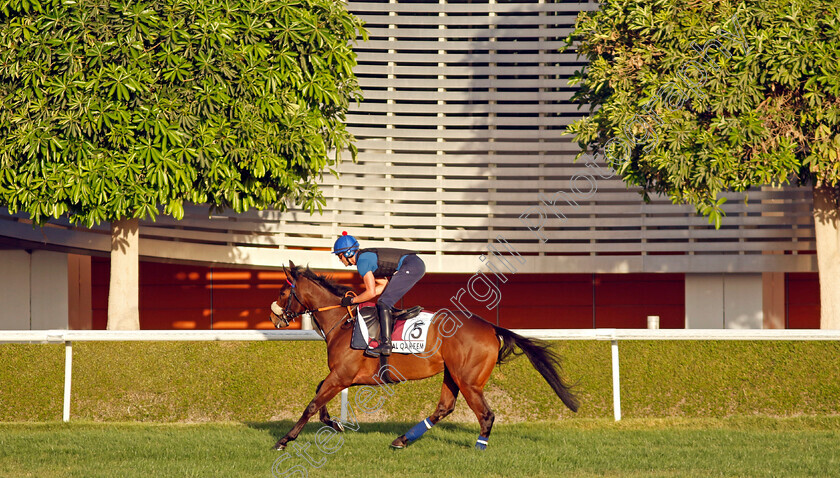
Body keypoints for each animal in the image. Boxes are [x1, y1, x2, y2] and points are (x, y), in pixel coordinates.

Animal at [270, 264, 576, 450]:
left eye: (284, 292)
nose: (274, 318)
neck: (343, 322)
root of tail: (491, 327)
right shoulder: (343, 377)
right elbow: (318, 393)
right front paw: (334, 423)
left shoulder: (343, 375)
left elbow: (312, 403)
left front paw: (285, 440)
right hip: (453, 375)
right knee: (444, 407)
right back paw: (402, 440)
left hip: (469, 380)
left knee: (486, 414)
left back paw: (479, 446)